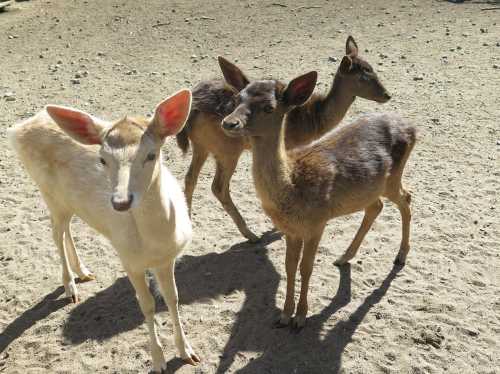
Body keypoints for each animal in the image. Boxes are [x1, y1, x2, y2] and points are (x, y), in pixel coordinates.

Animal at [7, 90, 199, 372]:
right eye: (102, 159)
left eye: (151, 155)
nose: (120, 202)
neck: (154, 242)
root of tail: (18, 128)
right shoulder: (128, 260)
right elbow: (147, 305)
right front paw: (158, 361)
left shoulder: (167, 258)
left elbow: (172, 298)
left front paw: (188, 352)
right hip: (49, 193)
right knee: (55, 232)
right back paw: (70, 287)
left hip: (69, 202)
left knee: (66, 229)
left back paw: (83, 272)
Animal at [176, 36, 390, 243]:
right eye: (364, 77)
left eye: (373, 69)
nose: (386, 95)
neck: (314, 121)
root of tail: (193, 107)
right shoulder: (292, 146)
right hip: (227, 148)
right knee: (218, 187)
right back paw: (251, 235)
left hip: (202, 145)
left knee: (190, 177)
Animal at [221, 64, 416, 330]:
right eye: (237, 99)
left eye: (269, 107)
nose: (229, 123)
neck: (293, 188)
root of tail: (413, 129)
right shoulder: (290, 229)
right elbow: (289, 267)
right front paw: (284, 315)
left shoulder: (317, 222)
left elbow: (306, 267)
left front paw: (300, 318)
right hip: (373, 186)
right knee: (376, 206)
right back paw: (344, 257)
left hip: (393, 178)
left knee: (406, 199)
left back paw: (400, 256)